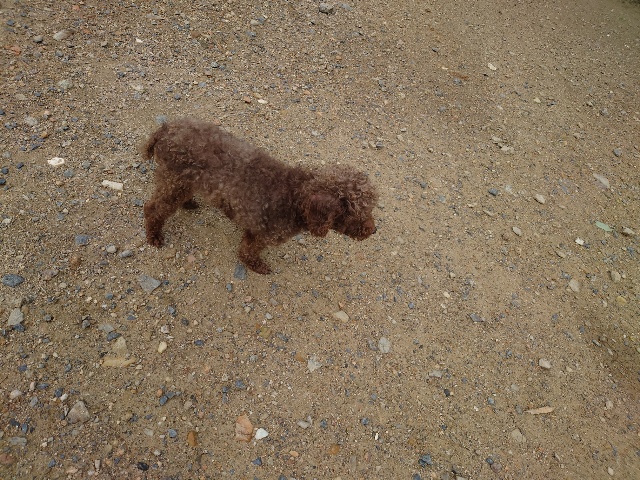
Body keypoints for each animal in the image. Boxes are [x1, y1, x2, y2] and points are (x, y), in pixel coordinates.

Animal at [142, 118, 378, 274]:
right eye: (357, 212)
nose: (373, 230)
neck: (294, 198)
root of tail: (164, 129)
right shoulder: (262, 234)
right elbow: (248, 252)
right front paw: (256, 266)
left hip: (183, 182)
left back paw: (189, 204)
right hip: (173, 182)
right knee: (153, 209)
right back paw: (154, 236)